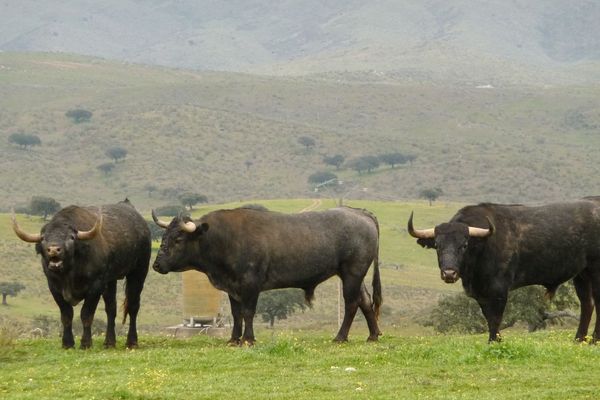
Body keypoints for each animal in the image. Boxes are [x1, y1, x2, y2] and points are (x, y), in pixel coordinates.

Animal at [12, 199, 150, 346]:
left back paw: (132, 341)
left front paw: (86, 342)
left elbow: (86, 314)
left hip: (139, 271)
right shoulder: (54, 288)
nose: (54, 250)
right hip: (111, 280)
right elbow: (66, 315)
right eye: (43, 238)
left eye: (71, 237)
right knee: (111, 308)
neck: (69, 273)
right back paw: (109, 342)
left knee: (133, 306)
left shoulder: (95, 287)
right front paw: (67, 343)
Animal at [152, 206, 382, 344]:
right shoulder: (232, 288)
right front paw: (233, 339)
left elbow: (248, 312)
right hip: (353, 276)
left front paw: (248, 339)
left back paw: (340, 337)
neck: (224, 238)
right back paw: (373, 335)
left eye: (178, 239)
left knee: (352, 304)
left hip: (352, 273)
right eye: (164, 236)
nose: (156, 264)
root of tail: (362, 213)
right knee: (365, 301)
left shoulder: (250, 285)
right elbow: (237, 314)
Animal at [408, 202, 600, 342]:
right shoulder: (482, 294)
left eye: (464, 245)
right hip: (582, 274)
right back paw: (579, 339)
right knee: (587, 304)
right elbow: (488, 318)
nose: (449, 274)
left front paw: (494, 341)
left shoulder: (499, 290)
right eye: (438, 246)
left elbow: (496, 318)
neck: (483, 246)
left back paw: (594, 340)